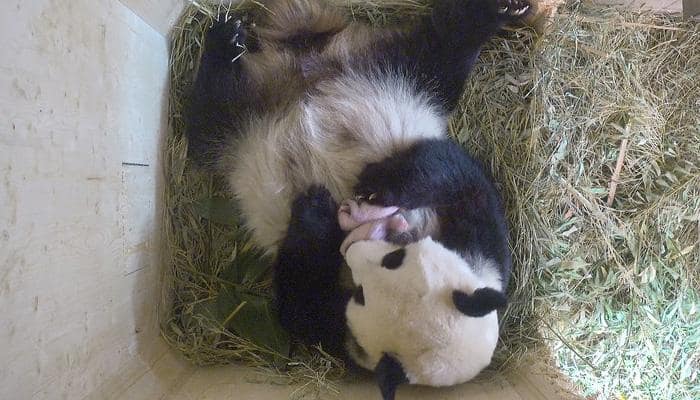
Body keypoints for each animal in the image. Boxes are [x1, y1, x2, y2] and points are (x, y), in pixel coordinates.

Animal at [186, 0, 532, 396]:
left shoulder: (342, 334)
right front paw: (376, 183)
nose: (352, 246)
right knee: (446, 47)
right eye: (396, 258)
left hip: (254, 119)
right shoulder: (480, 246)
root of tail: (307, 65)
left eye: (367, 289)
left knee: (209, 116)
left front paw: (316, 213)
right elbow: (461, 179)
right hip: (398, 77)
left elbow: (299, 301)